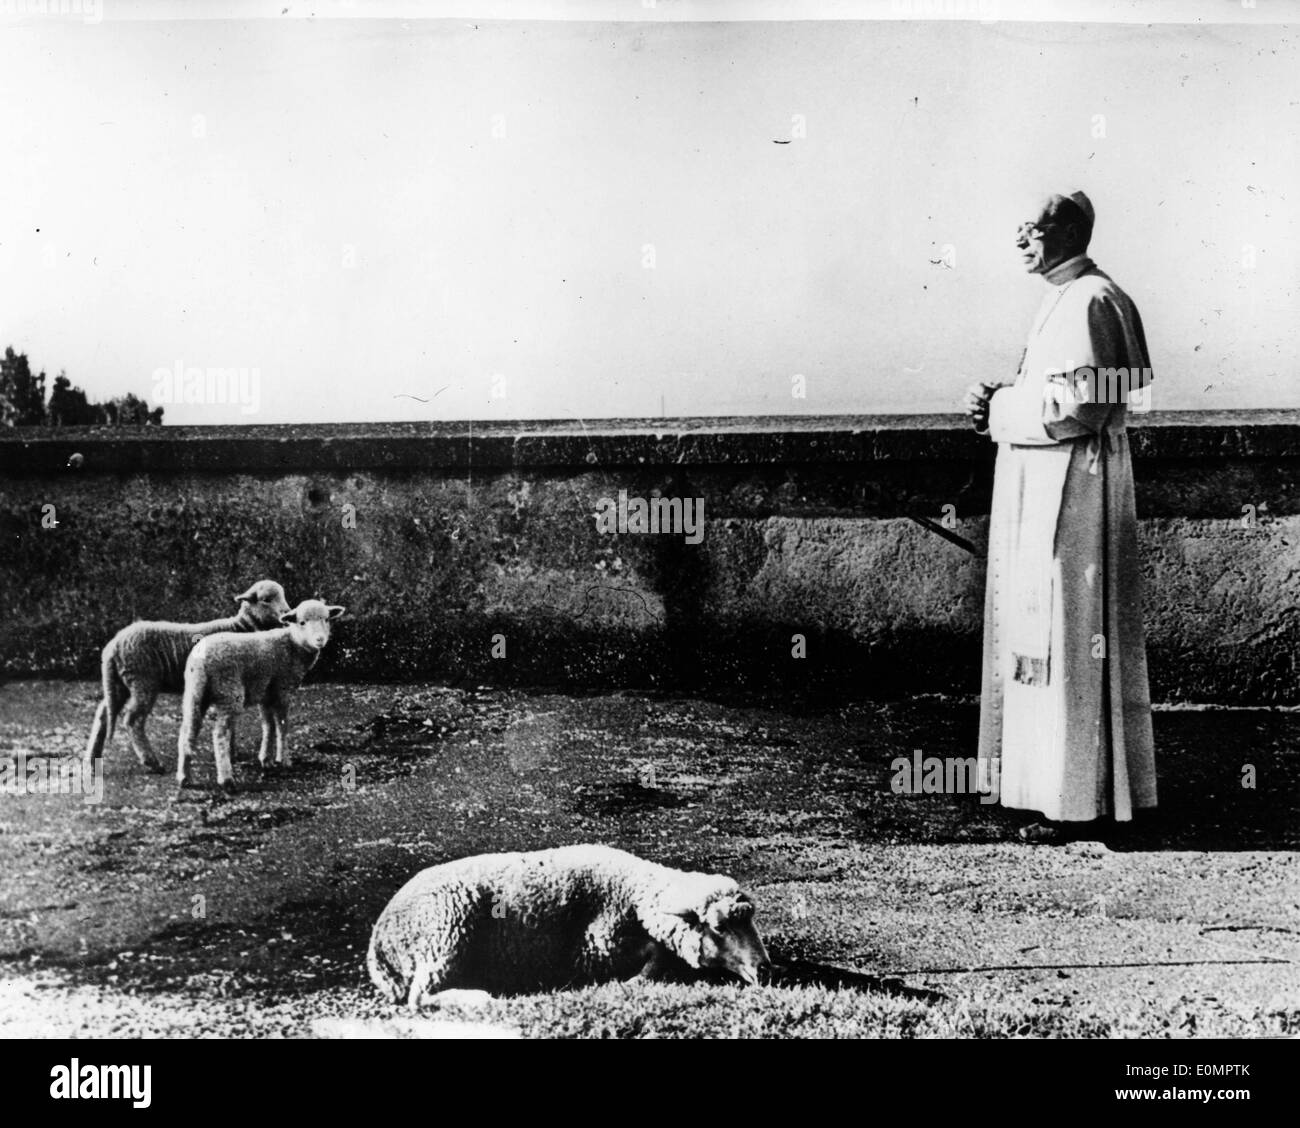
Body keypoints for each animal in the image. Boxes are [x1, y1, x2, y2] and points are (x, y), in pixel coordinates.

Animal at [86, 582, 292, 774]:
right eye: (266, 599)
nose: (286, 614)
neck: (242, 627)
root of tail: (113, 646)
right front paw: (232, 753)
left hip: (120, 682)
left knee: (104, 714)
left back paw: (92, 760)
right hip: (142, 681)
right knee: (132, 719)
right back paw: (152, 762)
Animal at [175, 600, 343, 795]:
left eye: (327, 619)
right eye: (302, 622)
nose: (320, 640)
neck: (292, 645)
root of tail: (200, 660)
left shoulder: (265, 694)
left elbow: (268, 726)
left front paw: (266, 759)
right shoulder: (283, 689)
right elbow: (282, 726)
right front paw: (284, 760)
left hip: (194, 693)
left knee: (187, 732)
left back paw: (184, 777)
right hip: (229, 692)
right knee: (220, 735)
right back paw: (226, 779)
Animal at [366, 842, 769, 1008]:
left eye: (750, 918)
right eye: (719, 927)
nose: (764, 969)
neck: (634, 888)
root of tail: (379, 945)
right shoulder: (597, 947)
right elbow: (657, 958)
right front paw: (636, 980)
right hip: (445, 939)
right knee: (420, 997)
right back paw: (480, 996)